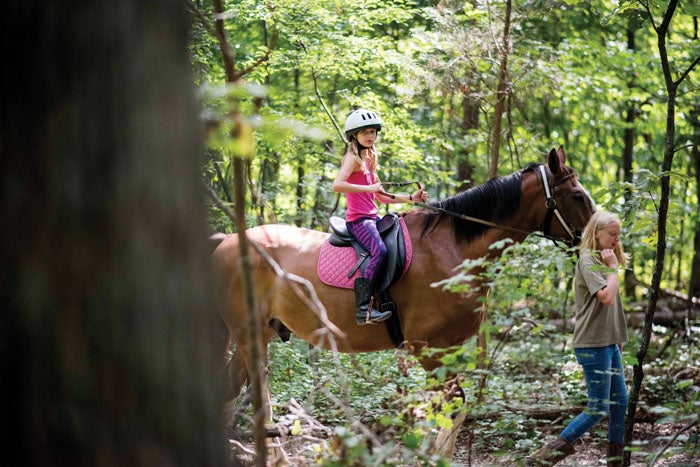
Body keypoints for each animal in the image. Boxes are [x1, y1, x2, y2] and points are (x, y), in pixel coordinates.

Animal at [215, 149, 596, 460]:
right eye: (578, 196)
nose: (594, 239)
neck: (455, 249)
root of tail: (226, 241)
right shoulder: (427, 347)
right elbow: (452, 405)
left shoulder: (444, 350)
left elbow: (442, 407)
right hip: (249, 334)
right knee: (257, 397)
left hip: (259, 333)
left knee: (233, 390)